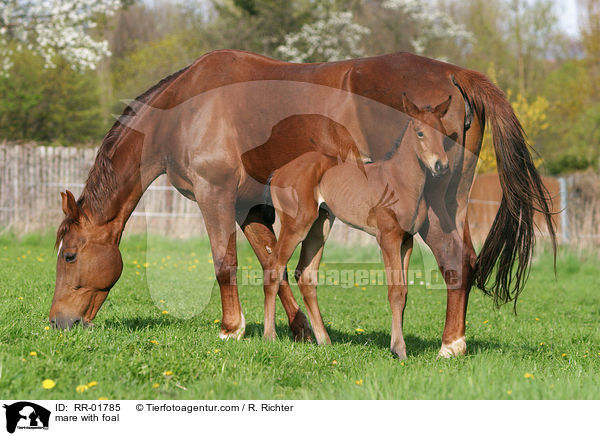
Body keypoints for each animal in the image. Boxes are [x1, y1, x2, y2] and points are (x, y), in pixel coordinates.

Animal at [266, 92, 450, 358]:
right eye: (420, 132)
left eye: (444, 133)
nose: (441, 166)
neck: (400, 182)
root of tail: (278, 172)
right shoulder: (388, 238)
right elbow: (395, 292)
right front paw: (399, 350)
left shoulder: (406, 241)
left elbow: (404, 293)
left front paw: (398, 345)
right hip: (296, 225)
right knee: (274, 266)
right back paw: (269, 335)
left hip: (320, 227)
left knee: (306, 275)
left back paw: (325, 340)